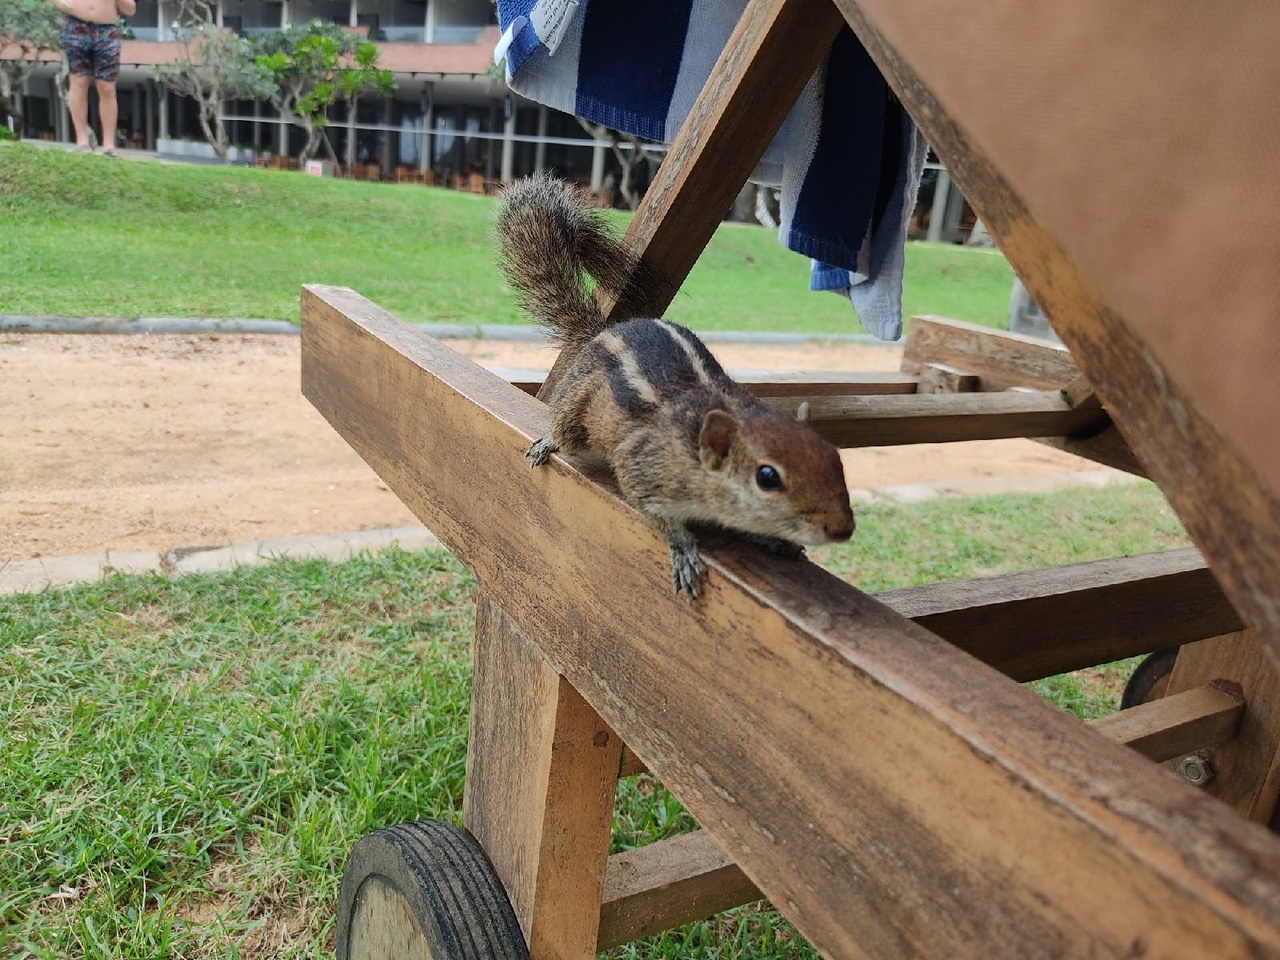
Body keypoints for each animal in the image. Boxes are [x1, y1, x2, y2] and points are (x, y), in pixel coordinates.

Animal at [494, 168, 855, 599]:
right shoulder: (643, 467)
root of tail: (599, 331)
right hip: (576, 407)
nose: (843, 528)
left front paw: (771, 539)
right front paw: (683, 548)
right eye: (767, 478)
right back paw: (549, 442)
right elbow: (656, 514)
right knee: (564, 427)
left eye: (835, 457)